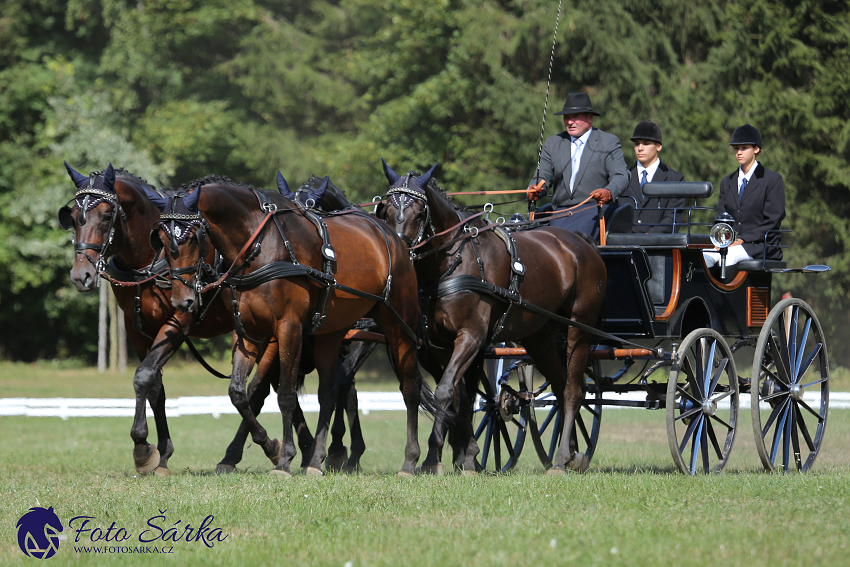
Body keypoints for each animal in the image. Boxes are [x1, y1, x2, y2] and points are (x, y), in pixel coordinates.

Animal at [151, 176, 424, 474]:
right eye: (161, 238)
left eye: (191, 237)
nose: (182, 300)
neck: (260, 246)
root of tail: (391, 236)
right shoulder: (249, 332)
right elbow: (239, 393)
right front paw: (271, 445)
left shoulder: (288, 328)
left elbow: (285, 395)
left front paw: (284, 459)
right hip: (332, 332)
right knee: (329, 391)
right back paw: (316, 460)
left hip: (399, 324)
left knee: (409, 388)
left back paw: (409, 460)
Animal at [374, 161, 608, 474]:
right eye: (386, 210)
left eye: (420, 212)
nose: (400, 252)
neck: (453, 261)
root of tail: (583, 245)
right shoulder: (438, 345)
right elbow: (461, 396)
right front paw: (466, 456)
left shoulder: (471, 337)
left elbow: (445, 391)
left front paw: (434, 456)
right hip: (540, 338)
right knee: (560, 386)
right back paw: (570, 453)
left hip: (578, 330)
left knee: (573, 390)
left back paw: (560, 459)